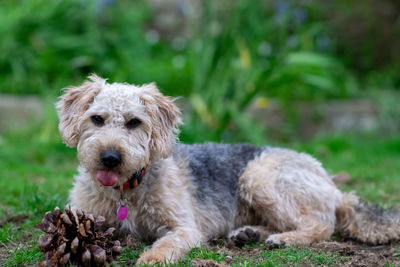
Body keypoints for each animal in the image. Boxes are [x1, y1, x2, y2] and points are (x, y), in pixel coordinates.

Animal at [56, 74, 400, 264]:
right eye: (97, 119)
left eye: (134, 122)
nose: (110, 157)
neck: (125, 191)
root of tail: (330, 183)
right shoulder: (87, 215)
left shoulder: (184, 227)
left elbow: (166, 242)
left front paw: (152, 257)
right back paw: (250, 233)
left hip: (259, 177)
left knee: (321, 225)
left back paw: (284, 239)